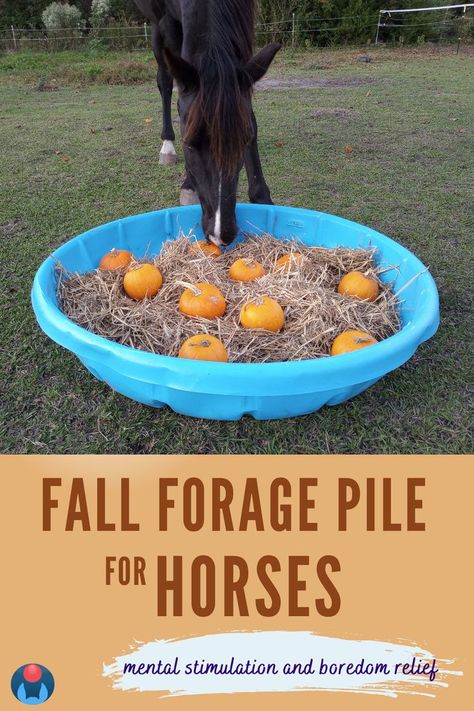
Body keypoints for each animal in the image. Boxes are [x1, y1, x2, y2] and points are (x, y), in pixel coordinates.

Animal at [131, 0, 280, 246]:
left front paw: (263, 199)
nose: (221, 235)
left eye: (245, 140)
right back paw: (167, 147)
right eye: (189, 144)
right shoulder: (168, 22)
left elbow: (249, 110)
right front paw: (188, 184)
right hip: (156, 25)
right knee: (165, 80)